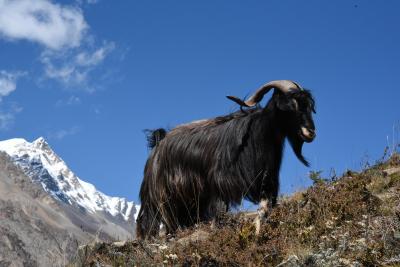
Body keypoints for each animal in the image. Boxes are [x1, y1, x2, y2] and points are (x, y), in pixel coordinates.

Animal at [137, 80, 316, 240]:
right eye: (290, 105)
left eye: (309, 105)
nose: (311, 132)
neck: (259, 133)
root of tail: (159, 141)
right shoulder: (219, 183)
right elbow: (219, 211)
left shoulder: (266, 181)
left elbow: (263, 209)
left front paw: (258, 232)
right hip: (160, 196)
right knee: (149, 220)